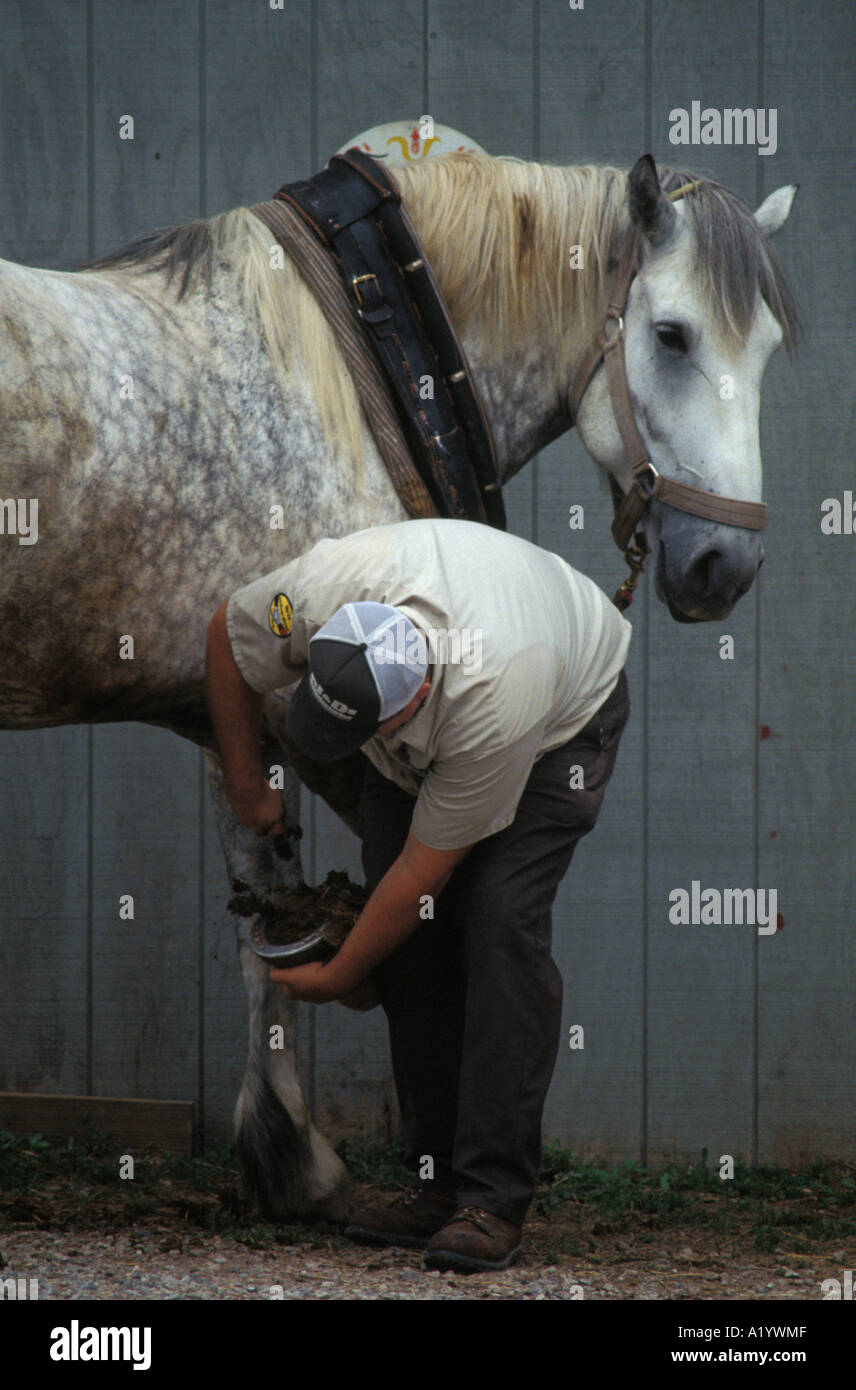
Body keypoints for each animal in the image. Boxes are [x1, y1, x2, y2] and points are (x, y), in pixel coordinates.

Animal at [0, 152, 797, 1219]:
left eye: (769, 350)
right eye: (671, 334)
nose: (724, 567)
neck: (348, 360)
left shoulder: (238, 724)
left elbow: (264, 907)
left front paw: (286, 1158)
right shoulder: (298, 712)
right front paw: (322, 1161)